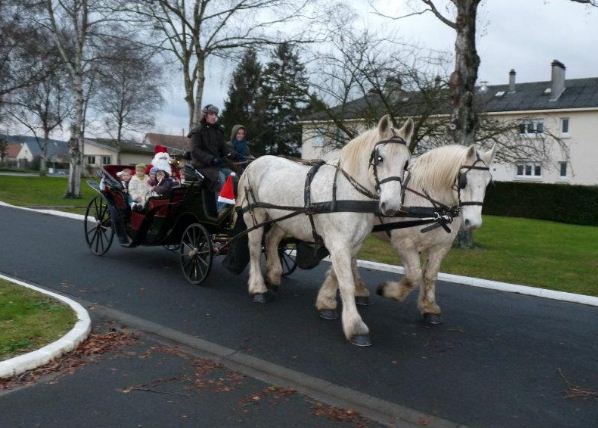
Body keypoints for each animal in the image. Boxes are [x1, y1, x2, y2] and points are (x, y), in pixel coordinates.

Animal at [237, 115, 414, 346]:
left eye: (406, 162)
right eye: (379, 158)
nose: (391, 206)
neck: (349, 193)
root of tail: (253, 163)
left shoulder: (353, 243)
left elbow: (337, 275)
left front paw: (326, 303)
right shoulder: (338, 243)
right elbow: (346, 281)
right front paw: (355, 326)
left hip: (283, 219)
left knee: (272, 240)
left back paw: (274, 277)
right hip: (255, 216)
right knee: (255, 248)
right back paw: (258, 288)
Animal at [318, 142, 496, 326]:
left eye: (489, 183)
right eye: (463, 181)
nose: (473, 223)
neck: (428, 204)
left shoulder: (441, 246)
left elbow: (430, 275)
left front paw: (429, 307)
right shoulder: (404, 243)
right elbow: (414, 275)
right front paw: (389, 291)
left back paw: (358, 290)